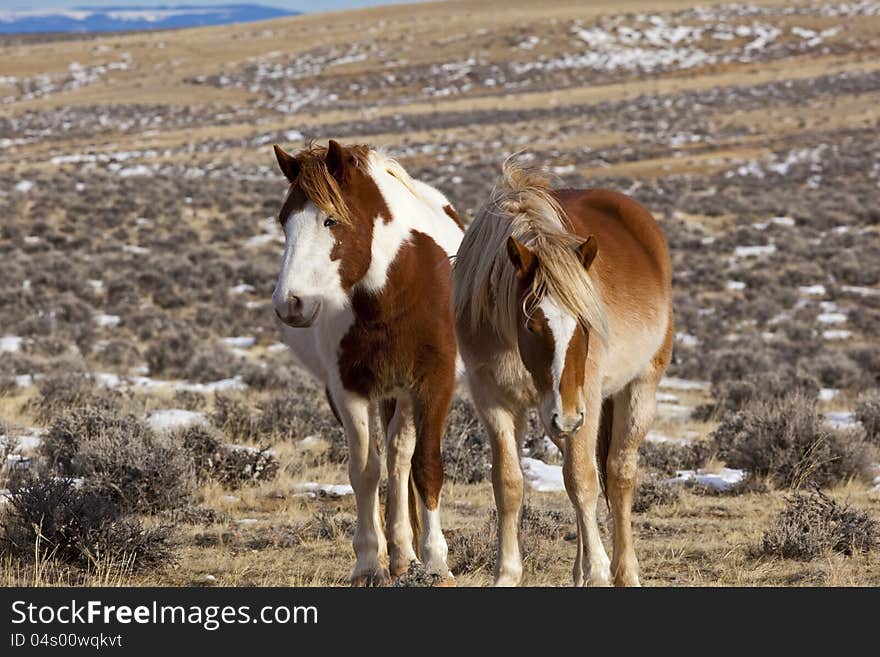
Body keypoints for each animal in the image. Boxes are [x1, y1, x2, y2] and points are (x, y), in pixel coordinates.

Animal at [270, 138, 464, 584]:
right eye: (285, 221)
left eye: (330, 220)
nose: (290, 304)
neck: (391, 293)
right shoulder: (347, 388)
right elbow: (364, 472)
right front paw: (368, 563)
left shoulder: (432, 383)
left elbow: (425, 465)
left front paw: (436, 561)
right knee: (385, 463)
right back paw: (397, 555)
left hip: (404, 393)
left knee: (401, 457)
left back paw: (408, 555)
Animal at [454, 161, 672, 588]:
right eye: (532, 323)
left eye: (586, 324)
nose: (569, 416)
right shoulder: (493, 400)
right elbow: (509, 483)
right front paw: (507, 573)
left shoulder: (584, 399)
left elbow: (584, 480)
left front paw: (600, 571)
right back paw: (580, 570)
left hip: (634, 391)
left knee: (618, 474)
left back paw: (624, 571)